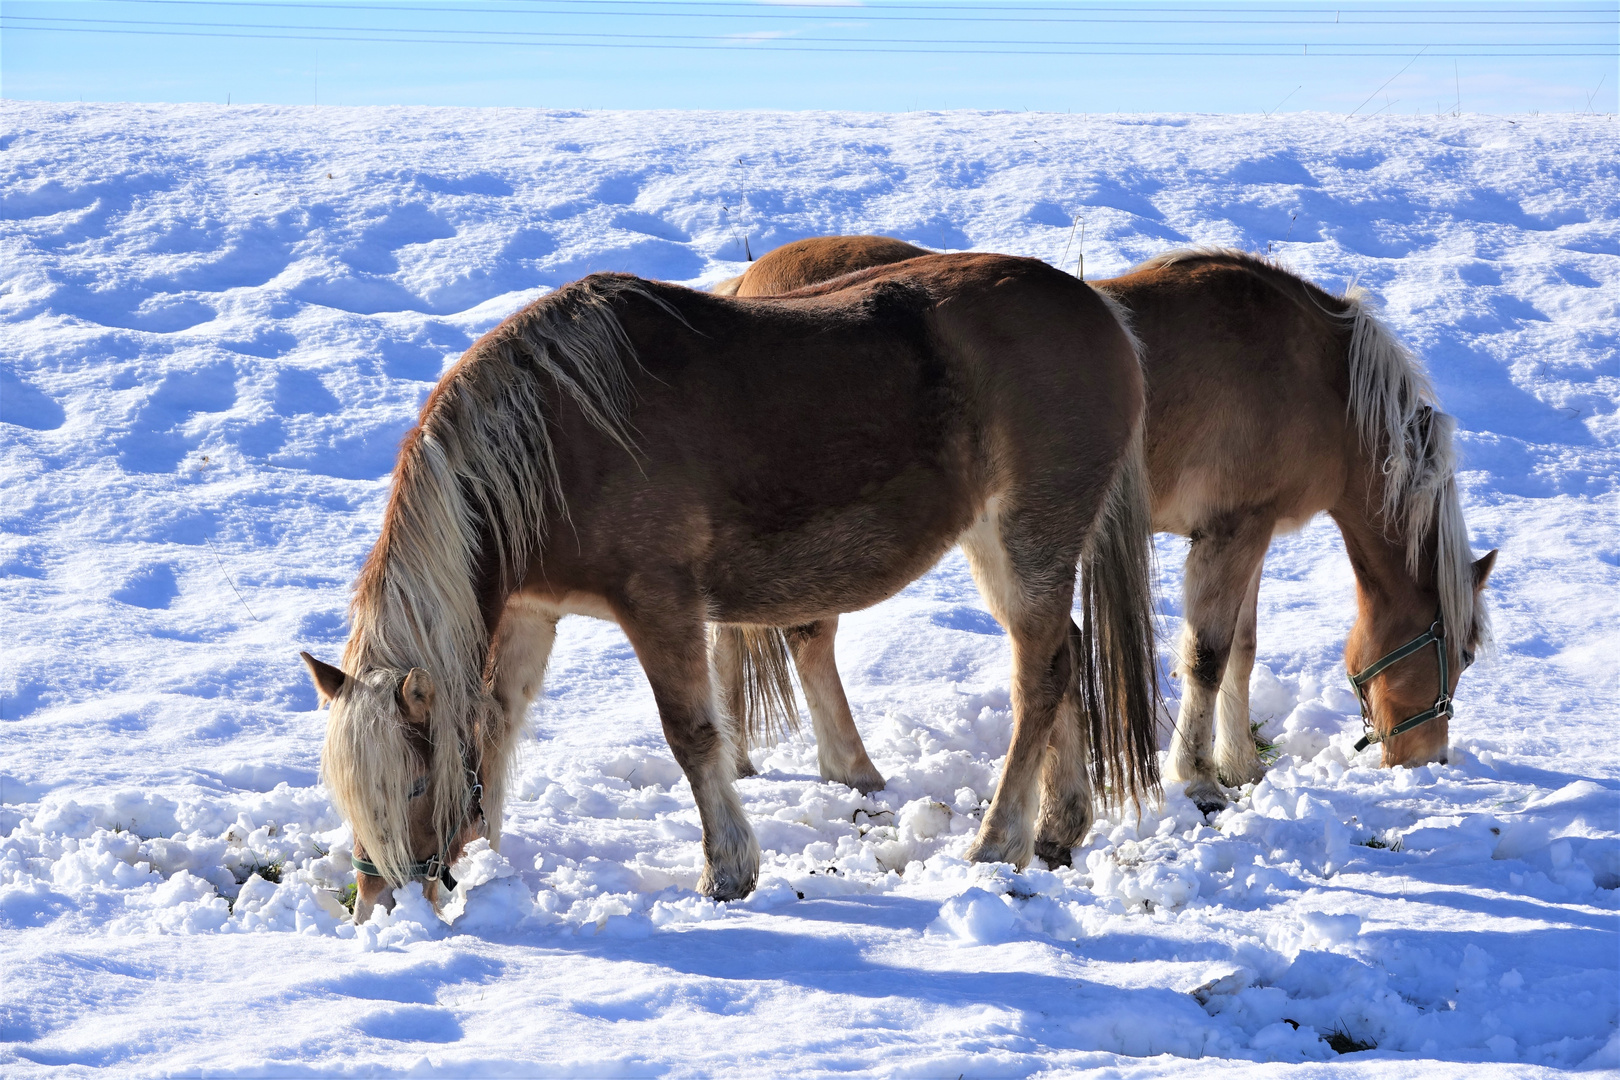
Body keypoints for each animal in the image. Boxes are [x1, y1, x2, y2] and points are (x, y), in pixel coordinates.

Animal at [304, 254, 1159, 919]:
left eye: (415, 786)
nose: (380, 904)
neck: (556, 438)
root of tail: (1101, 310)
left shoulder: (659, 607)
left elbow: (691, 734)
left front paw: (729, 871)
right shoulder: (530, 613)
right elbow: (495, 725)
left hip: (1029, 539)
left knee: (1040, 675)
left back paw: (998, 840)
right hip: (1003, 547)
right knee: (1062, 656)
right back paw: (1058, 830)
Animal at [716, 233, 1496, 816]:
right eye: (1458, 652)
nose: (1427, 760)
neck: (1314, 376)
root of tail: (746, 284)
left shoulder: (1250, 532)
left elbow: (1241, 650)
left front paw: (1241, 765)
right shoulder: (1231, 532)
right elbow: (1208, 655)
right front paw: (1199, 777)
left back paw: (737, 756)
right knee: (809, 639)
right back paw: (854, 770)